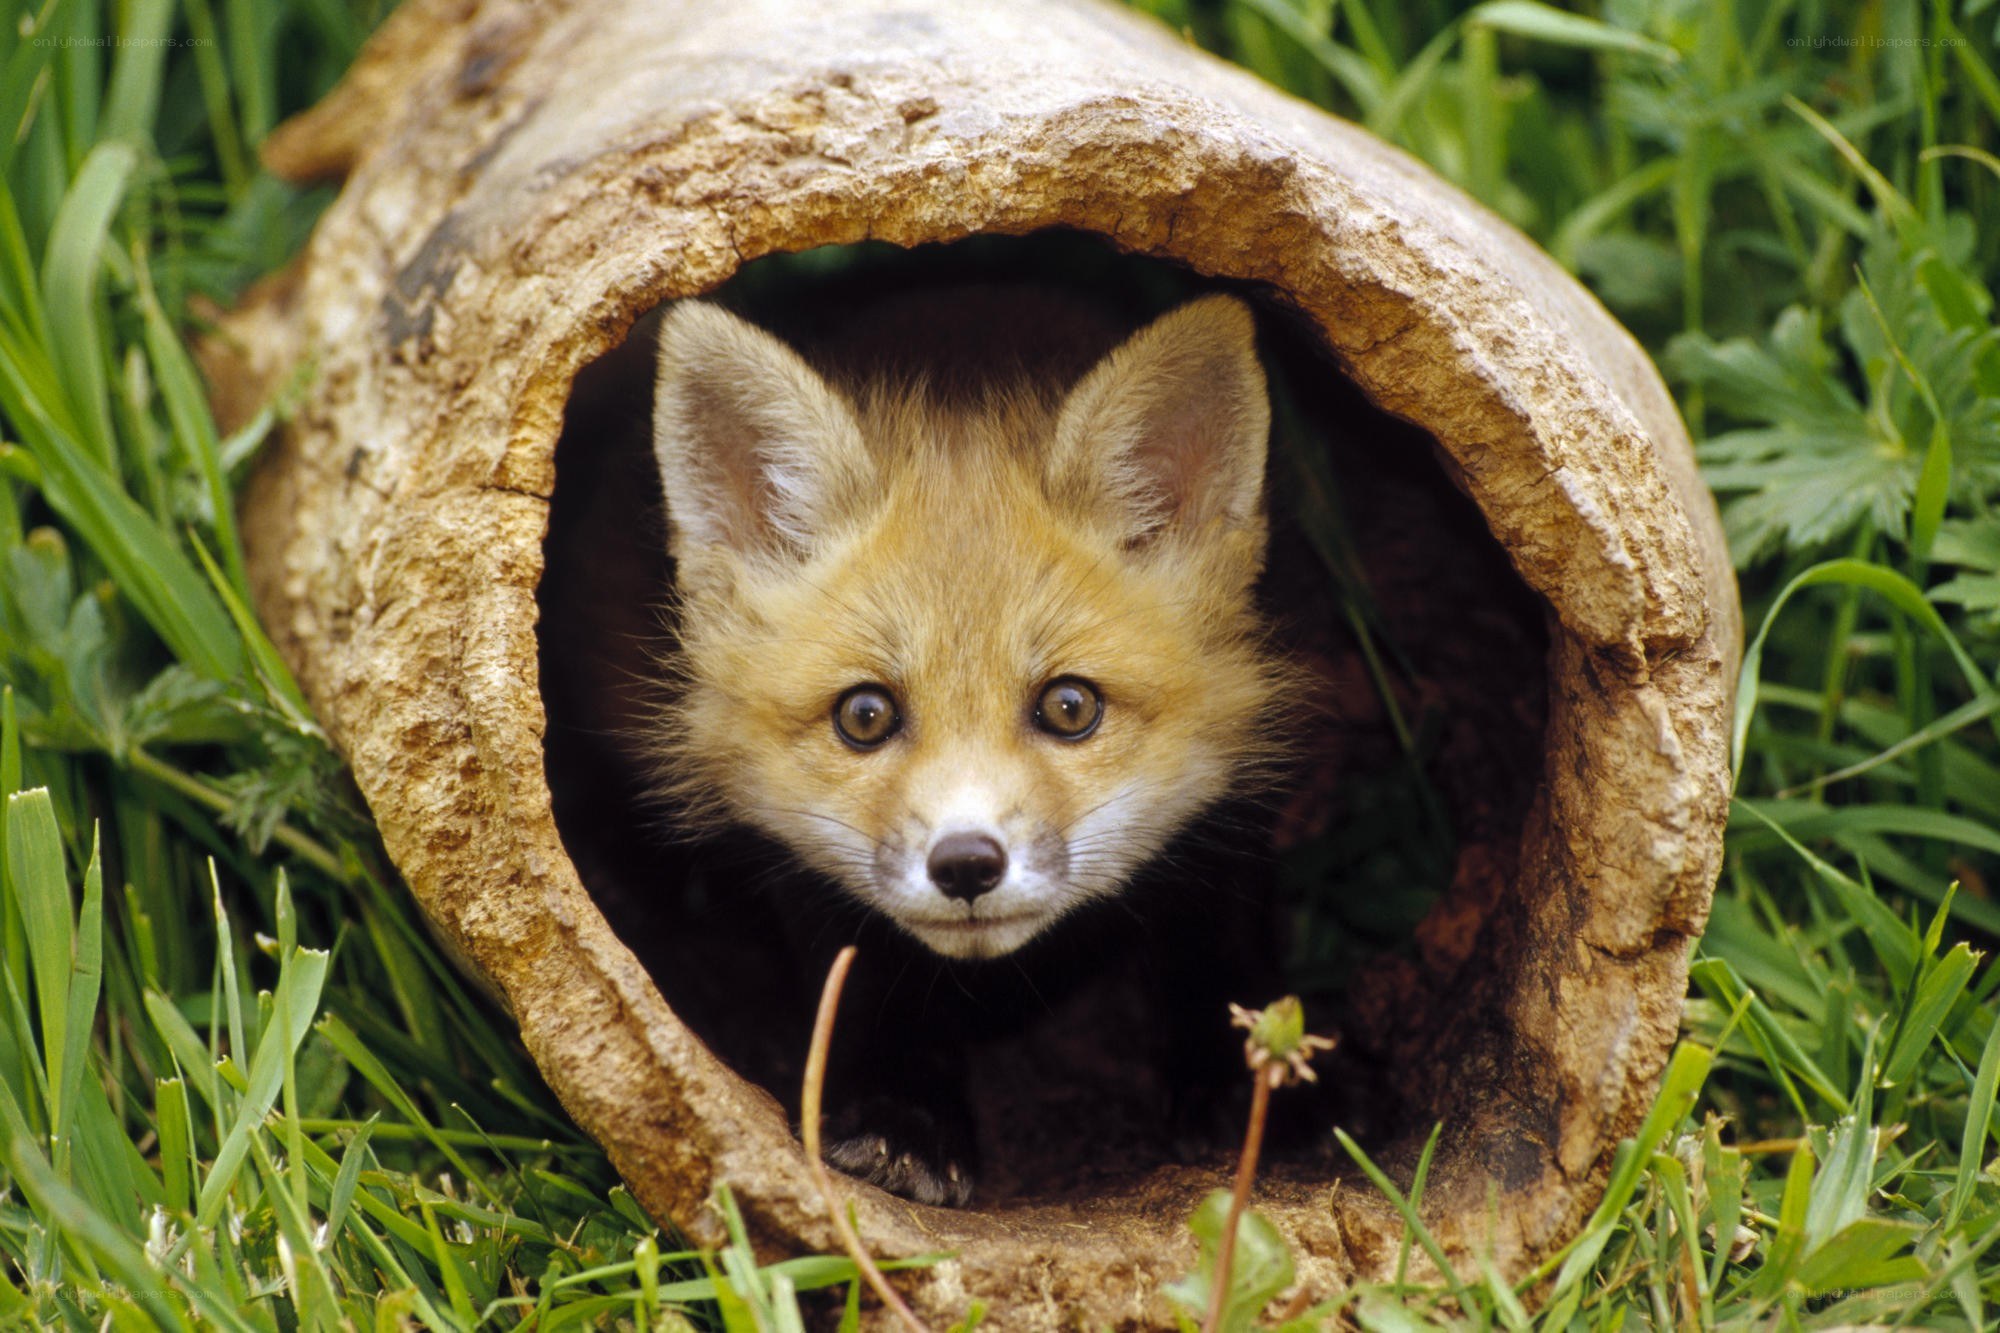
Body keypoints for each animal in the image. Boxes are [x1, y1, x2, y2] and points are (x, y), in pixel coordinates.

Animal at [645, 286, 1292, 1205]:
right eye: (866, 715)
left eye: (1068, 706)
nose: (965, 865)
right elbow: (865, 973)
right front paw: (904, 1116)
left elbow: (1217, 940)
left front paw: (1247, 1087)